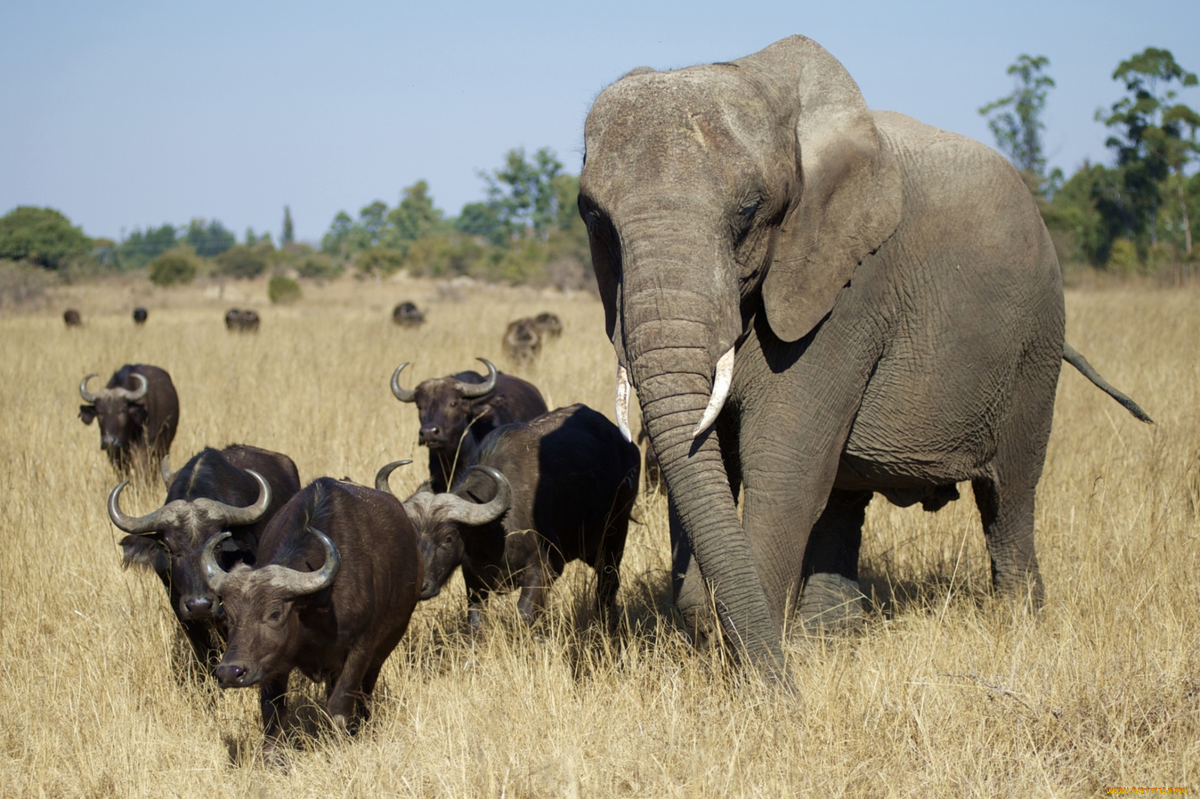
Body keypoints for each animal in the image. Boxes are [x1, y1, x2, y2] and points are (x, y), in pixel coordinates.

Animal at [379, 405, 643, 628]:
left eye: (448, 539)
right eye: (410, 538)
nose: (420, 586)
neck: (494, 532)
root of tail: (627, 446)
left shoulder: (544, 569)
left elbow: (524, 613)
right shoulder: (474, 580)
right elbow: (476, 621)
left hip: (614, 535)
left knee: (607, 583)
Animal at [580, 32, 1152, 676]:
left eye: (750, 211)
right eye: (594, 218)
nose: (786, 695)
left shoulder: (851, 288)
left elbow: (784, 466)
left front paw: (753, 661)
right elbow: (713, 456)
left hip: (1035, 342)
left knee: (1009, 493)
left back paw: (1020, 623)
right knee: (847, 494)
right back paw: (829, 634)